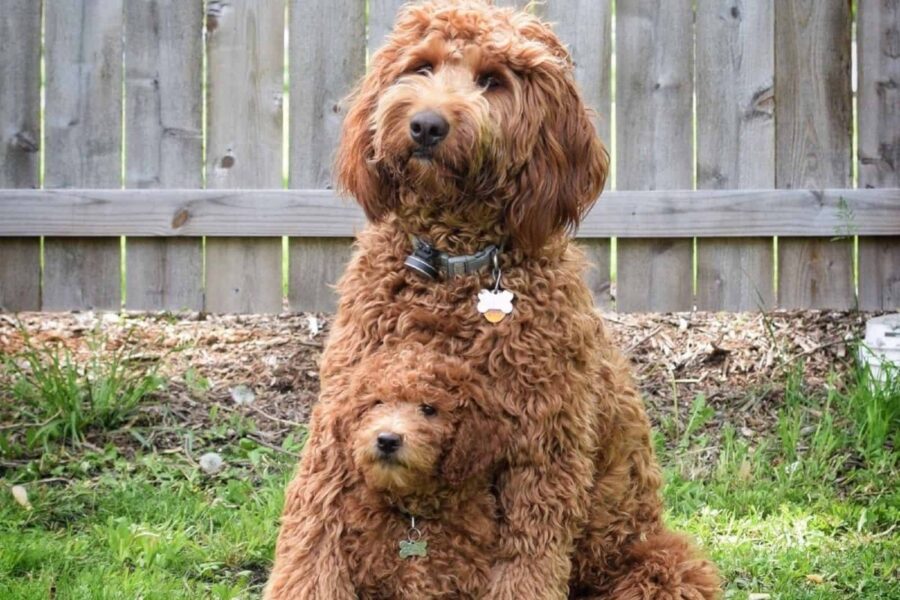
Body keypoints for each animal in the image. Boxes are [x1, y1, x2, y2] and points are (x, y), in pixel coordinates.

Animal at [266, 2, 716, 596]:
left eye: (493, 81)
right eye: (422, 66)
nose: (426, 125)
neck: (452, 268)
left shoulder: (542, 450)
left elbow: (526, 562)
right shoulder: (342, 422)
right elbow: (312, 541)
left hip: (657, 565)